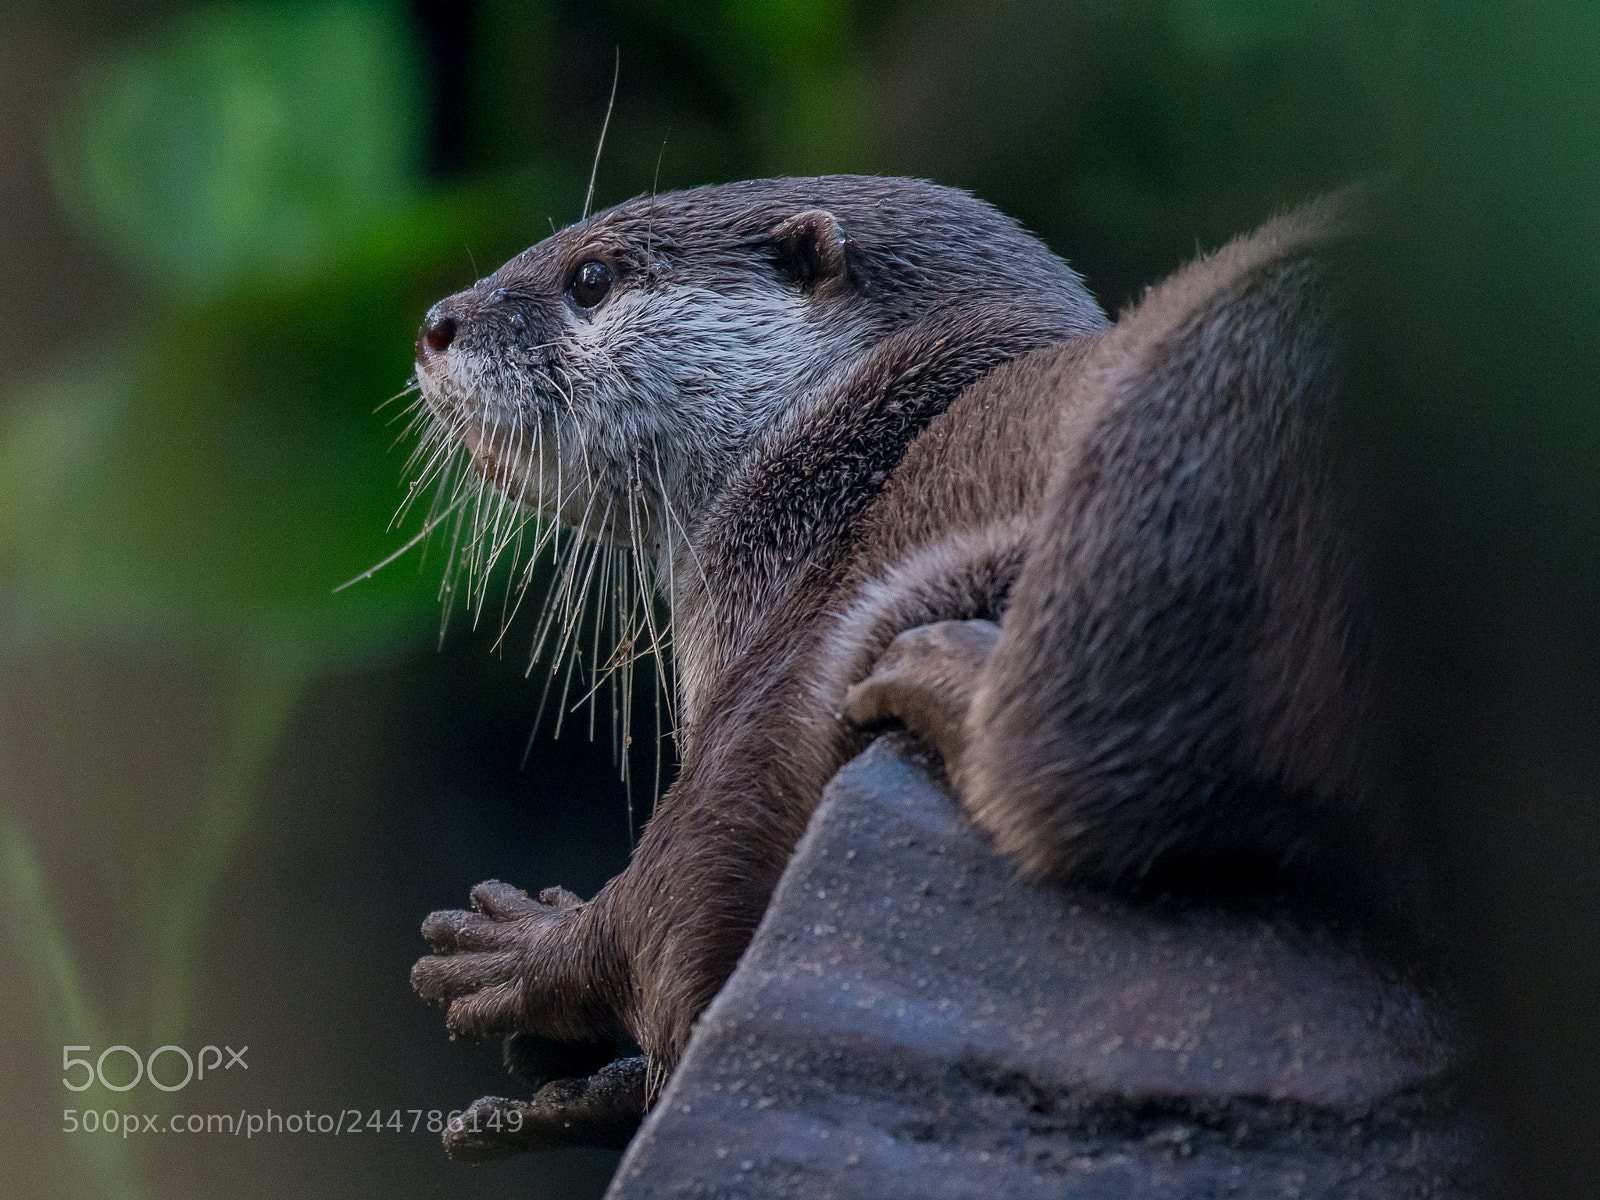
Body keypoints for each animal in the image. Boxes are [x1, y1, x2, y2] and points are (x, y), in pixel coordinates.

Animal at [405, 176, 1367, 1157]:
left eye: (591, 277)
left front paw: (527, 950)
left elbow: (674, 914)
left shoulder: (788, 664)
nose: (436, 324)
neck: (844, 468)